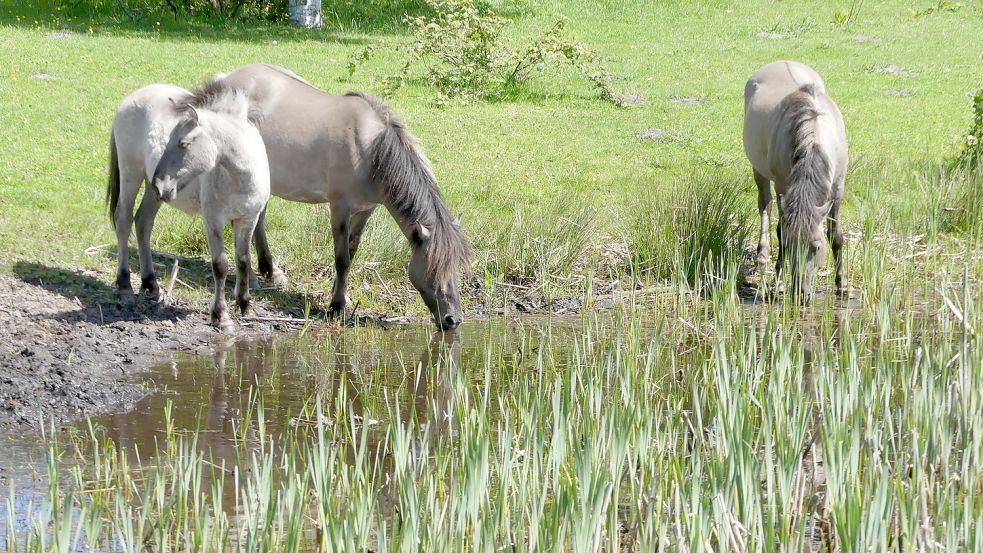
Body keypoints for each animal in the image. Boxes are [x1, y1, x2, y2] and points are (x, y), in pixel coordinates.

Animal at [106, 79, 272, 330]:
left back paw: (150, 283)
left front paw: (244, 305)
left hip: (152, 193)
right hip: (131, 175)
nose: (160, 183)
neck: (239, 177)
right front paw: (221, 316)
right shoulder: (213, 220)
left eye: (183, 143)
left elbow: (243, 260)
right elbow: (221, 265)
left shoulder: (248, 218)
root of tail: (129, 100)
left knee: (143, 222)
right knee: (123, 220)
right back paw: (125, 285)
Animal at [219, 64, 472, 332]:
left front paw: (340, 294)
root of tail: (226, 80)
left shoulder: (365, 210)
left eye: (457, 268)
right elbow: (342, 258)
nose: (453, 319)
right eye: (434, 268)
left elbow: (352, 250)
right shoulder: (340, 207)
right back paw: (253, 279)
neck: (370, 152)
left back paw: (271, 271)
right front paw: (337, 306)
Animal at [744, 59, 844, 302]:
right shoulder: (783, 187)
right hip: (759, 171)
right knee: (765, 205)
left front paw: (841, 286)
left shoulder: (838, 189)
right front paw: (778, 283)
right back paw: (763, 257)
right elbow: (781, 230)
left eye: (816, 247)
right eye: (790, 247)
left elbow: (836, 237)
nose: (801, 293)